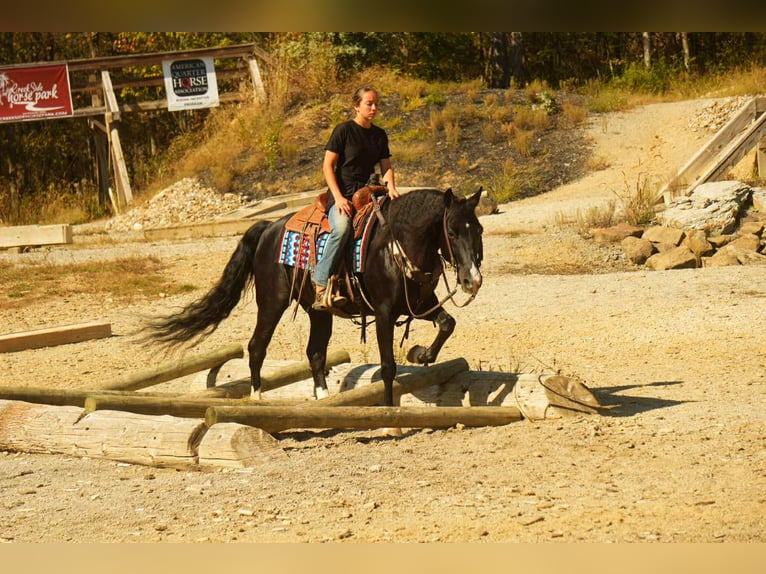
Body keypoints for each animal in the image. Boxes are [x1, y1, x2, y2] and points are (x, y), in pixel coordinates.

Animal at [145, 187, 484, 407]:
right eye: (451, 231)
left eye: (478, 229)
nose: (473, 280)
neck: (396, 244)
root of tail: (270, 227)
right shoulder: (385, 312)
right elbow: (388, 365)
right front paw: (389, 412)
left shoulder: (420, 304)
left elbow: (447, 324)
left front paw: (420, 354)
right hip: (272, 302)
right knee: (257, 347)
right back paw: (258, 396)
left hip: (318, 311)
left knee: (315, 353)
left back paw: (323, 397)